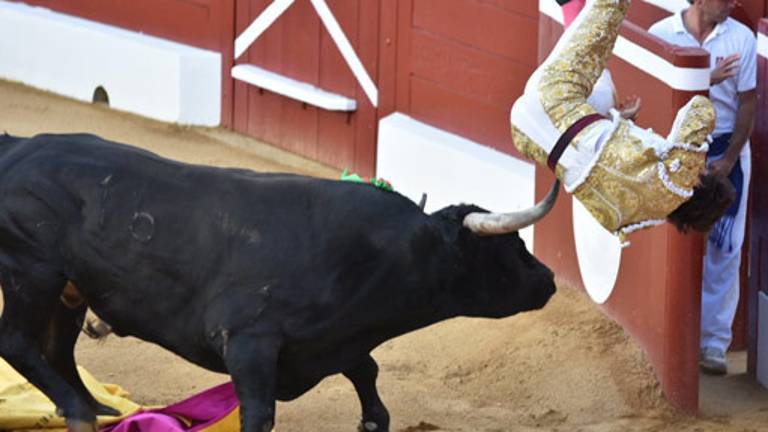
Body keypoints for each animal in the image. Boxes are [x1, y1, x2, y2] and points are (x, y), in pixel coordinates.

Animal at [0, 133, 556, 430]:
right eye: (511, 247)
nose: (549, 279)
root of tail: (18, 146)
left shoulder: (335, 337)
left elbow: (366, 370)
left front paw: (372, 418)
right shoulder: (249, 343)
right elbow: (260, 413)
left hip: (69, 288)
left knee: (56, 349)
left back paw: (97, 407)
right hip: (32, 271)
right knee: (19, 341)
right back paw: (79, 410)